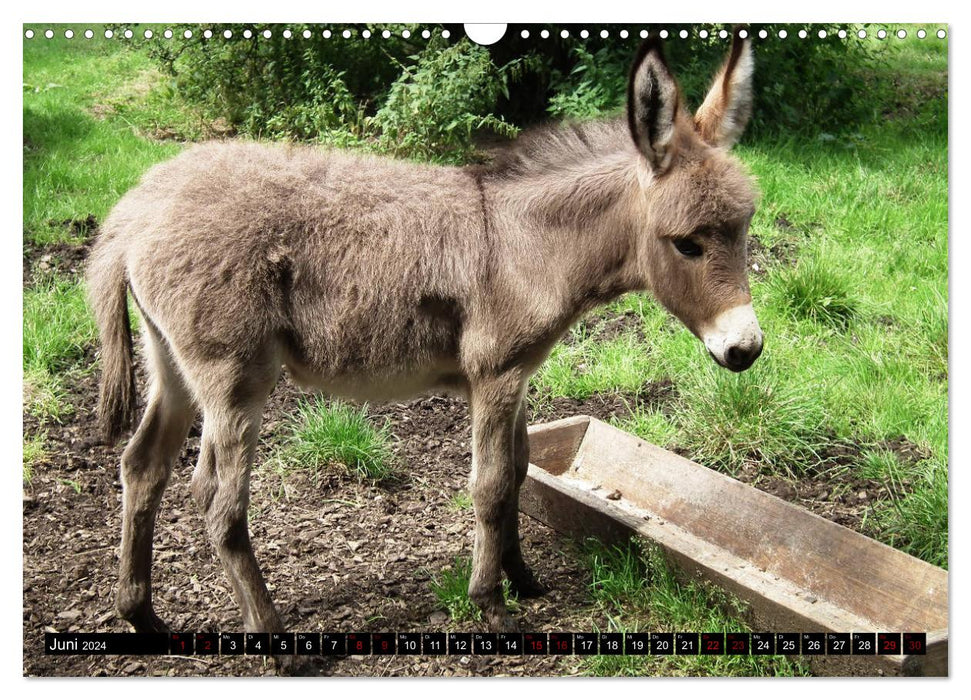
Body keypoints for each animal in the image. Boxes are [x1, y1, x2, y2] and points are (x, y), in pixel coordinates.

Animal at [87, 34, 764, 636]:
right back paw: (273, 638)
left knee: (143, 466)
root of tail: (136, 211)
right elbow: (490, 487)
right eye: (687, 244)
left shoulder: (515, 378)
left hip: (173, 366)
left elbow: (519, 471)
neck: (526, 245)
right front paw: (491, 605)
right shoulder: (494, 377)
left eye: (744, 227)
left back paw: (140, 614)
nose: (747, 349)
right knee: (218, 503)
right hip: (235, 381)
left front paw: (523, 578)